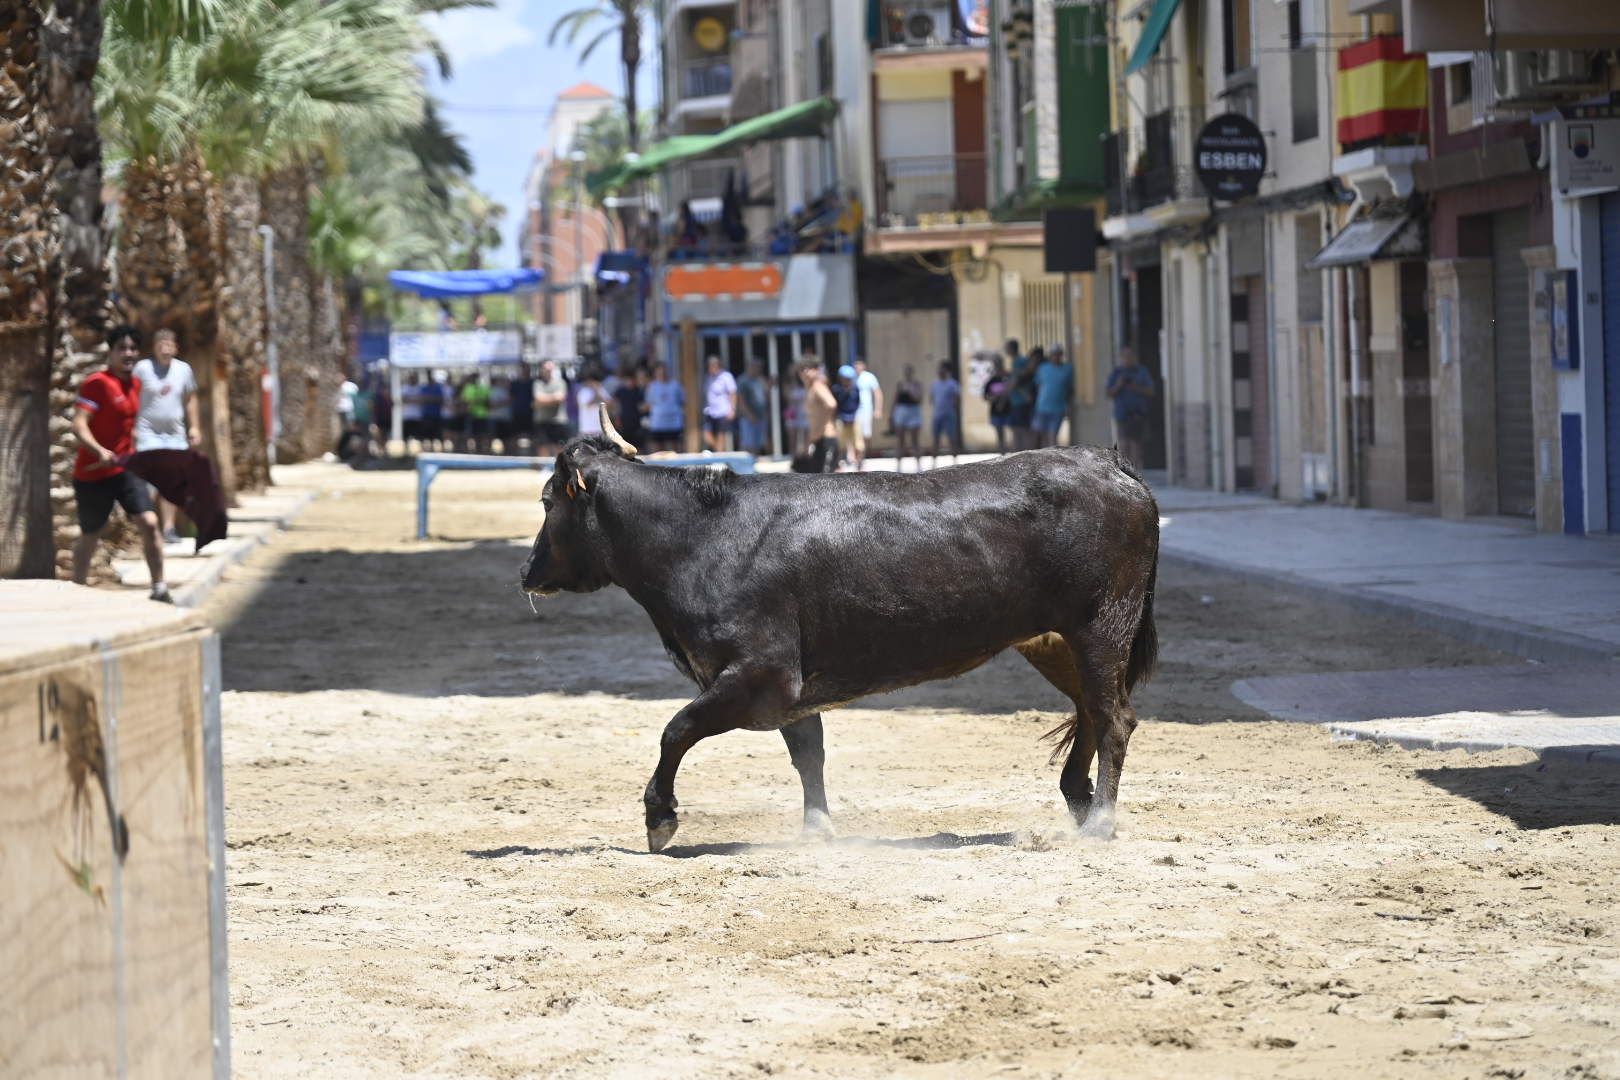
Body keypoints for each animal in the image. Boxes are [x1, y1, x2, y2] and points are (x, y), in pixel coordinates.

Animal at [524, 420, 1159, 854]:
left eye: (548, 500)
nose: (527, 571)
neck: (699, 537)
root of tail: (1104, 460)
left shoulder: (763, 676)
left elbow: (676, 729)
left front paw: (660, 819)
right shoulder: (792, 692)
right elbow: (808, 753)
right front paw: (817, 829)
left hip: (1103, 623)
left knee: (1114, 717)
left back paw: (1101, 821)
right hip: (1056, 640)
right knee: (1090, 709)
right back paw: (1079, 802)